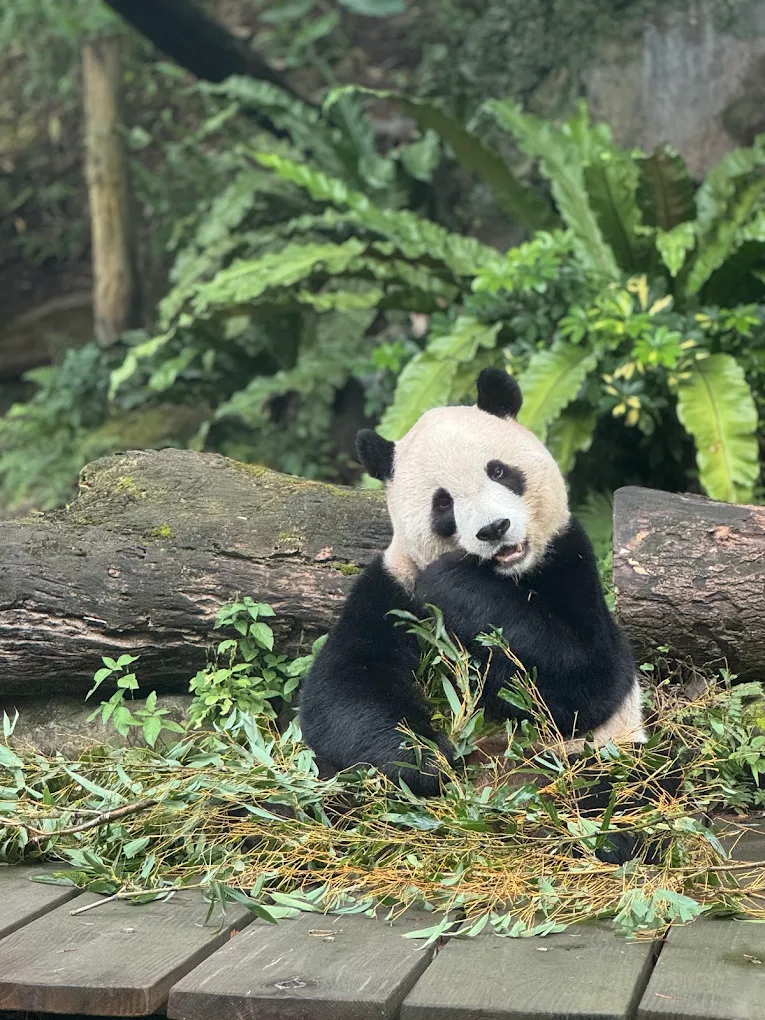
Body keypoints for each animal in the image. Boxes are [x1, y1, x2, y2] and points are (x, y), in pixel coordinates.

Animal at [299, 367, 646, 796]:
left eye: (498, 471)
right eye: (443, 503)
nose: (493, 528)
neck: (507, 577)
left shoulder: (567, 557)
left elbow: (590, 676)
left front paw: (453, 581)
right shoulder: (393, 587)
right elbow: (344, 687)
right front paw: (426, 759)